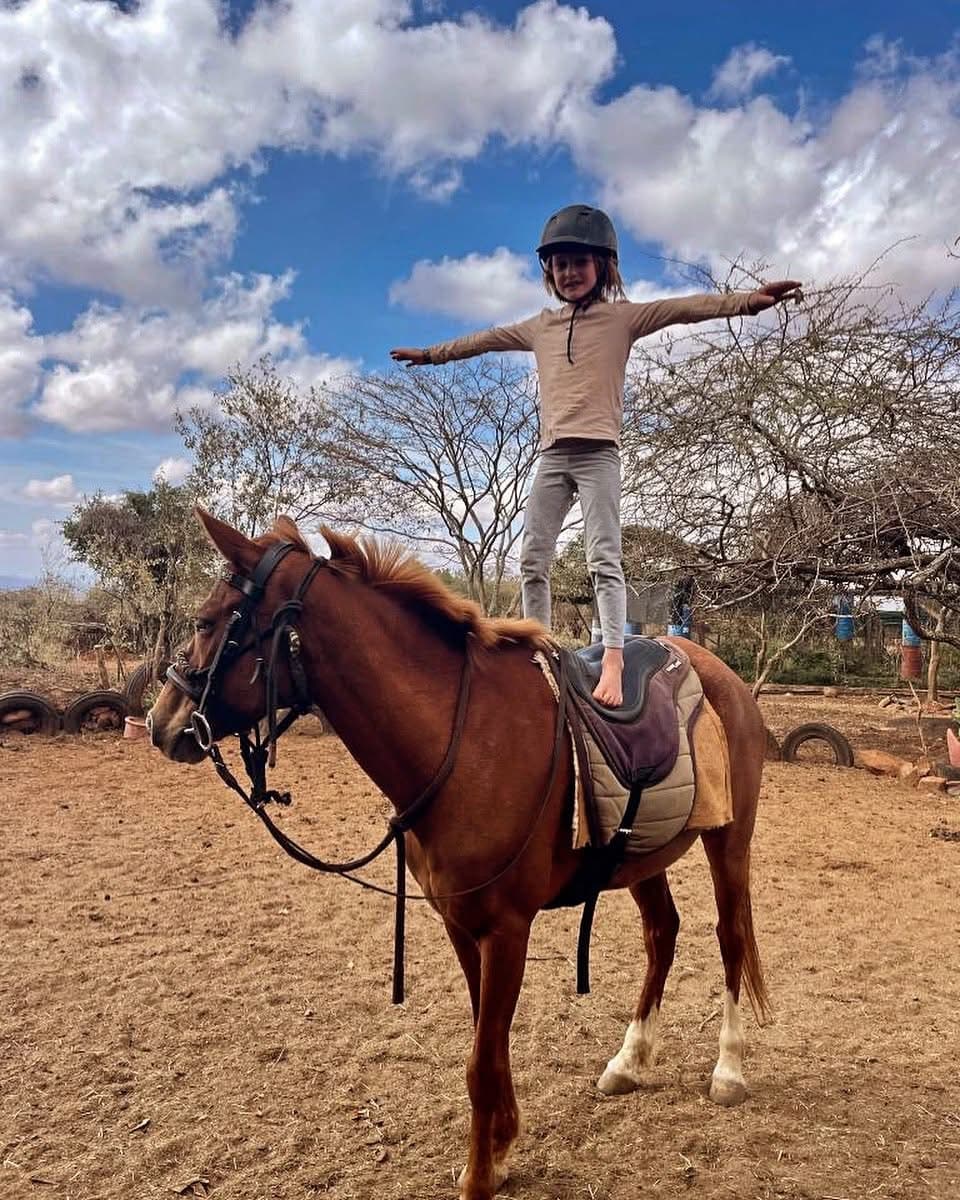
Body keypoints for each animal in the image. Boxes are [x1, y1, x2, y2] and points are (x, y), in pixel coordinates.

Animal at [147, 509, 770, 1200]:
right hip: (641, 856)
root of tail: (714, 669)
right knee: (662, 933)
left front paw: (479, 1173)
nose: (161, 722)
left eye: (207, 622)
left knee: (730, 935)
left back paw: (729, 1070)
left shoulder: (507, 930)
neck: (461, 738)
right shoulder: (460, 923)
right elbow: (487, 1046)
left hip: (729, 840)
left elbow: (480, 1059)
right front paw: (499, 1150)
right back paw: (630, 1061)